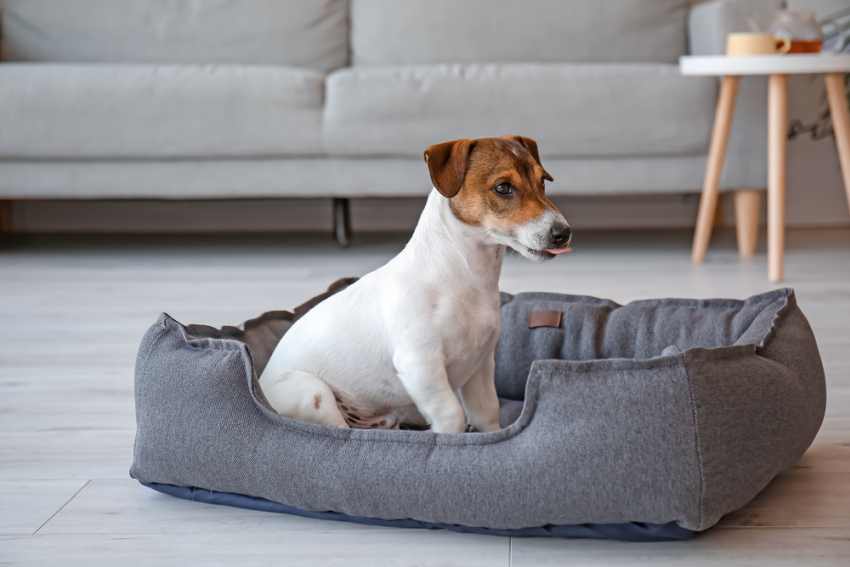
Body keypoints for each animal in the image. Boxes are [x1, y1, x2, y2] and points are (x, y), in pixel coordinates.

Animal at [258, 135, 568, 432]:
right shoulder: (420, 364)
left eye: (543, 181)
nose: (563, 233)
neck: (465, 274)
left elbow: (488, 415)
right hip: (313, 393)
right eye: (503, 188)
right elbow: (452, 415)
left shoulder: (480, 366)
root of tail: (260, 382)